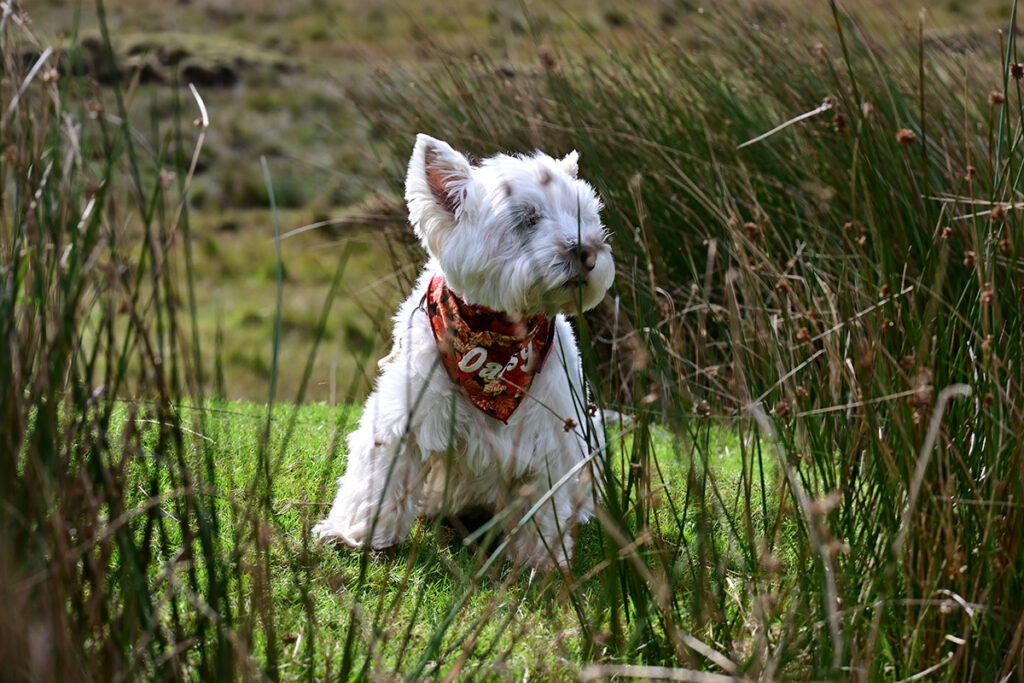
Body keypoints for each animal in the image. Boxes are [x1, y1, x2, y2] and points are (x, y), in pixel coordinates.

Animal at [311, 135, 610, 573]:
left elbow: (544, 509)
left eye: (583, 216)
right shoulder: (404, 418)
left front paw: (540, 561)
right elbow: (379, 480)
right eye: (526, 219)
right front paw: (356, 536)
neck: (494, 346)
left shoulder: (553, 438)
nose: (587, 253)